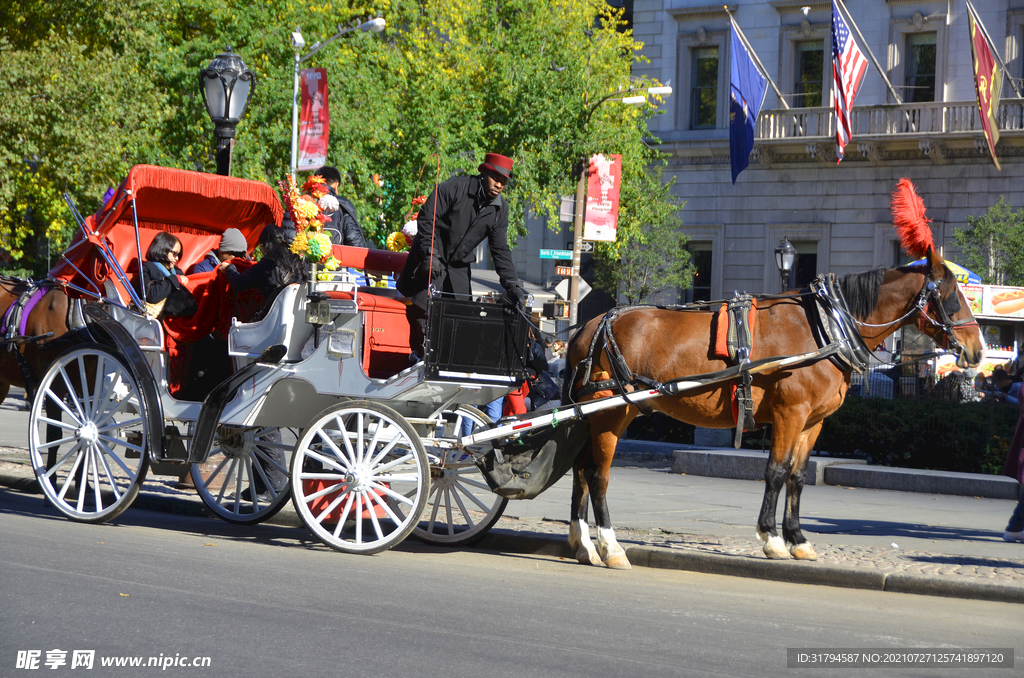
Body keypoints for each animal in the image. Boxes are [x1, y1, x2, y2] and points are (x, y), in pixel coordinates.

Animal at [565, 246, 987, 569]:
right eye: (952, 298)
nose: (978, 350)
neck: (825, 328)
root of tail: (591, 325)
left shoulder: (813, 422)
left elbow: (798, 476)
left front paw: (798, 538)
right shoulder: (791, 413)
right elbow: (776, 471)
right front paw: (771, 538)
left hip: (594, 415)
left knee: (581, 471)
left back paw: (583, 542)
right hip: (612, 413)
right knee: (598, 475)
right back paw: (610, 546)